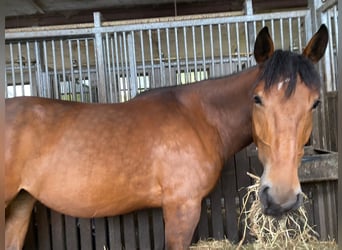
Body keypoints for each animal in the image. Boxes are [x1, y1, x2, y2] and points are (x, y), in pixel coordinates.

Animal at [4, 25, 328, 250]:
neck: (199, 118)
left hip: (20, 204)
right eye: (257, 99)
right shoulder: (181, 209)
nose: (281, 198)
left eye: (315, 103)